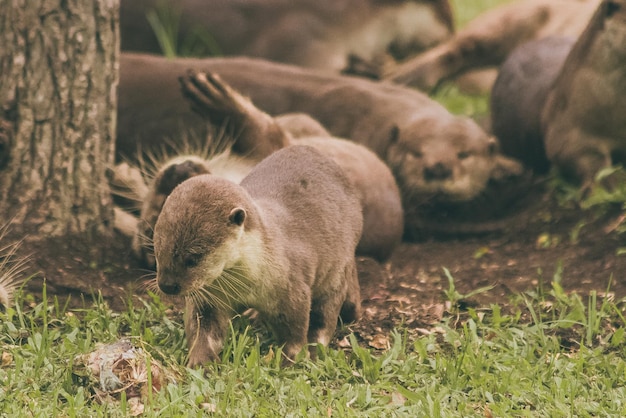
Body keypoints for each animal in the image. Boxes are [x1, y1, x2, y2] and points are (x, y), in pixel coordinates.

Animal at [152, 145, 364, 368]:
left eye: (193, 258)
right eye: (157, 250)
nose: (167, 285)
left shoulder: (292, 289)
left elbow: (295, 331)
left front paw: (291, 360)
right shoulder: (208, 297)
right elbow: (203, 330)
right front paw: (200, 361)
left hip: (336, 270)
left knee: (326, 313)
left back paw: (316, 347)